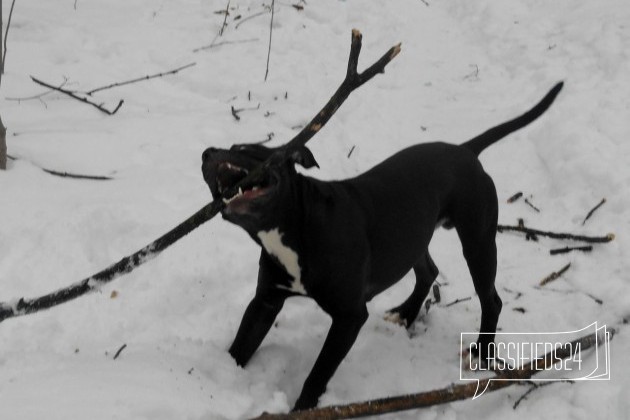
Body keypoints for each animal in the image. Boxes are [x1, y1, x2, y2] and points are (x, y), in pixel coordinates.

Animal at [204, 82, 568, 410]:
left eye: (243, 148)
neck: (295, 225)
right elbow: (241, 345)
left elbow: (318, 373)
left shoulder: (349, 317)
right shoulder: (266, 300)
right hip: (413, 237)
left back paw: (481, 354)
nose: (207, 152)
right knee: (429, 270)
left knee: (491, 299)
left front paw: (302, 409)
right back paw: (406, 314)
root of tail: (465, 151)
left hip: (478, 240)